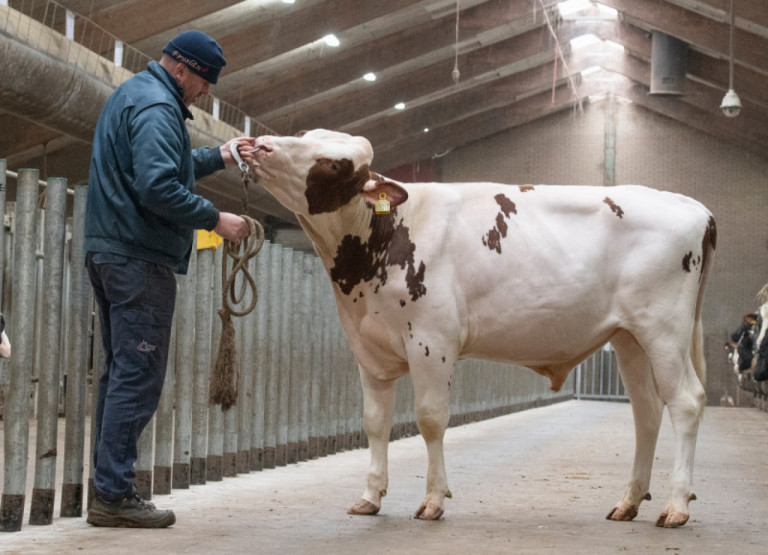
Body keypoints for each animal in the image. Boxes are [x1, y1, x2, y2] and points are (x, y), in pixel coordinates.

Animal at [249, 129, 716, 528]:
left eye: (334, 165)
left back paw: (676, 506)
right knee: (647, 411)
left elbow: (430, 418)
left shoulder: (431, 341)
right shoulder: (369, 348)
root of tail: (691, 205)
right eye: (305, 135)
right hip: (630, 338)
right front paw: (370, 497)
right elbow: (375, 421)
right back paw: (629, 502)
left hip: (664, 330)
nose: (259, 144)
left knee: (686, 403)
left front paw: (433, 500)